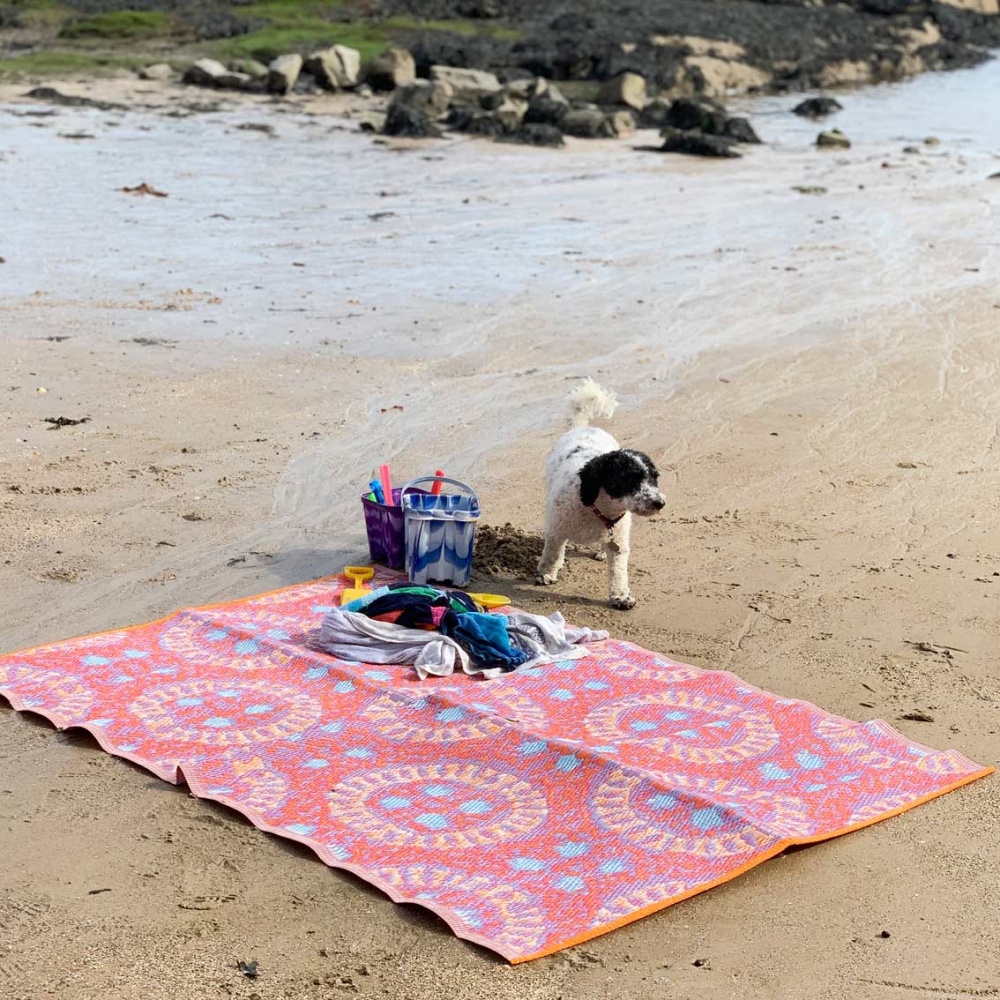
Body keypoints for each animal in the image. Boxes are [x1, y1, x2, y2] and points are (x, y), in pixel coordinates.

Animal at [536, 376, 668, 604]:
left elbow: (618, 571)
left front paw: (621, 596)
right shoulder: (556, 531)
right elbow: (552, 554)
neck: (597, 508)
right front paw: (546, 574)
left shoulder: (619, 542)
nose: (659, 503)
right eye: (628, 479)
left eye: (654, 477)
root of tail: (584, 428)